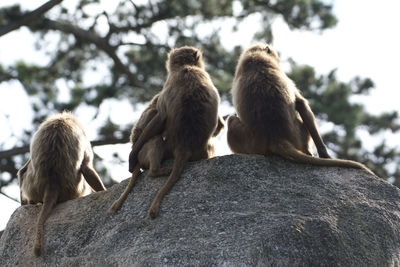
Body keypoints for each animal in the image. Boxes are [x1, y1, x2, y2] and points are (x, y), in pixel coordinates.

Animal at [126, 46, 220, 220]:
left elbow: (161, 116)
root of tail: (184, 146)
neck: (186, 67)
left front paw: (132, 156)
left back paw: (155, 171)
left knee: (156, 137)